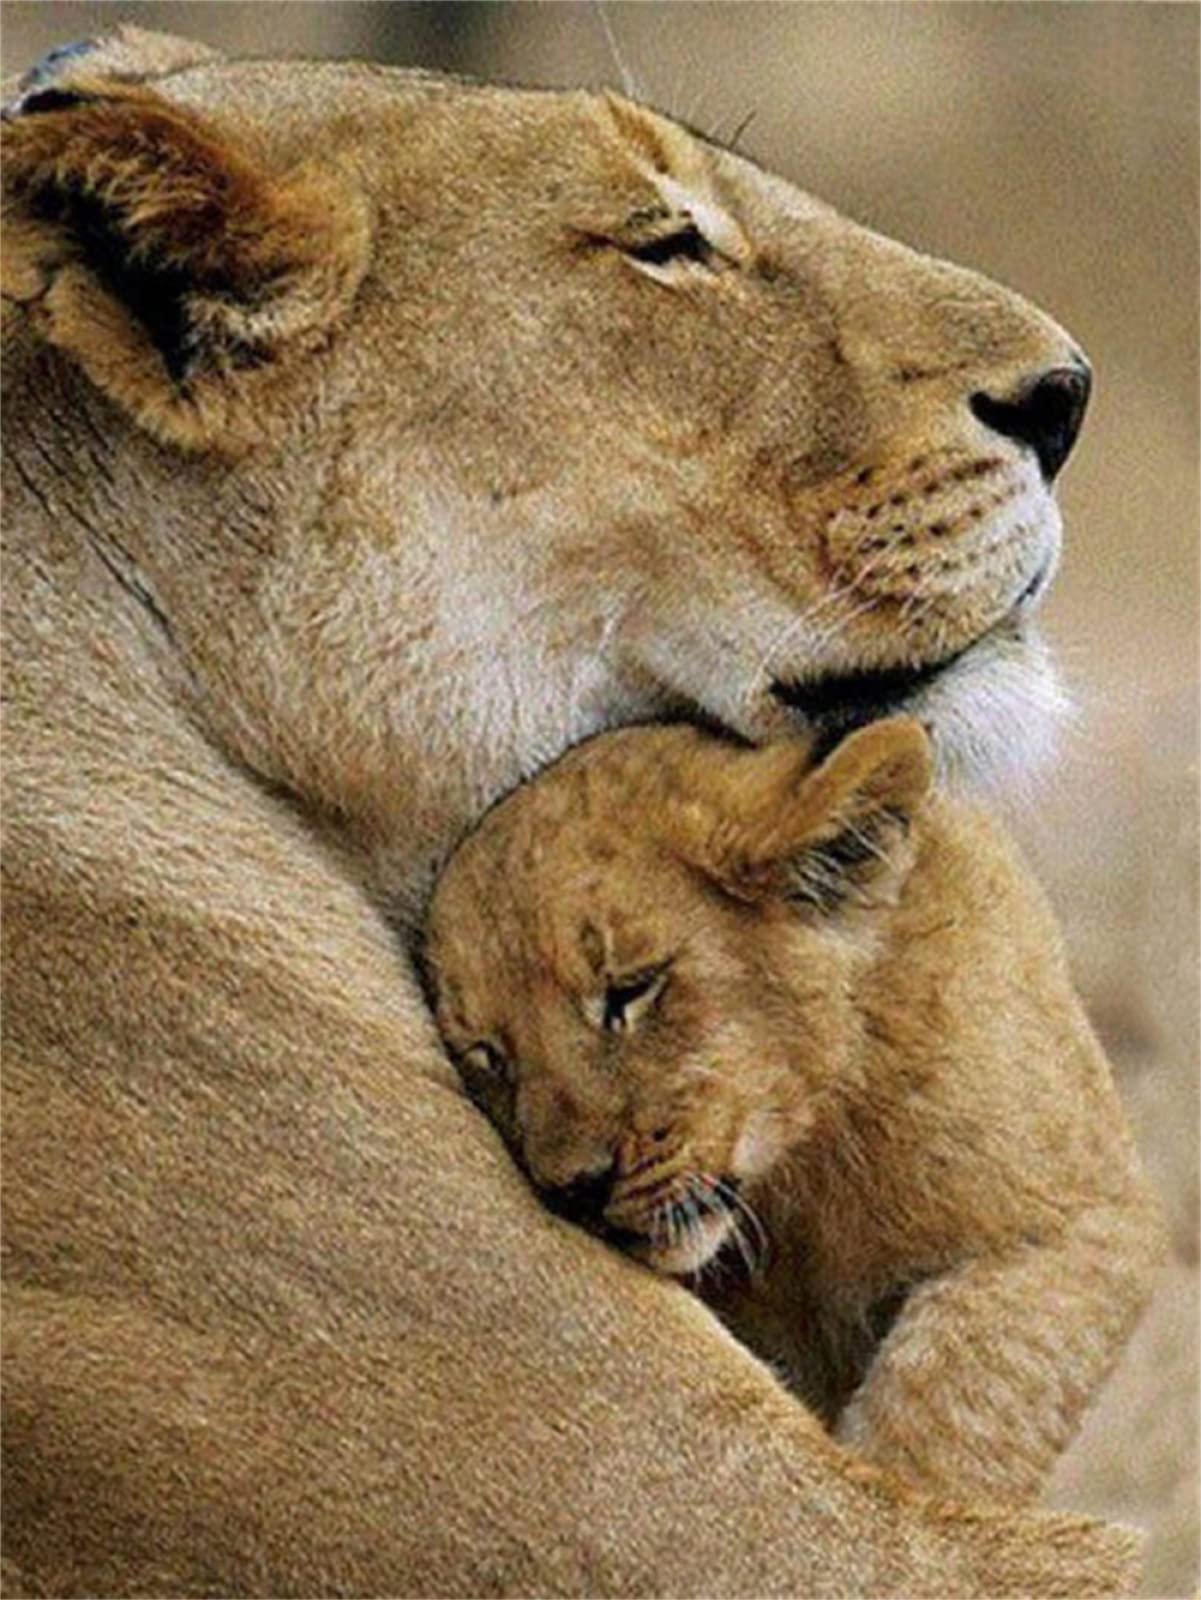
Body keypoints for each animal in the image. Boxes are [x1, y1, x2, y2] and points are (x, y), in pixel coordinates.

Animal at [424, 716, 1165, 1509]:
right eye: (488, 1055)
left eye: (630, 989)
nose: (575, 1189)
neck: (801, 1174)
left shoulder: (1083, 1218)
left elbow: (956, 1394)